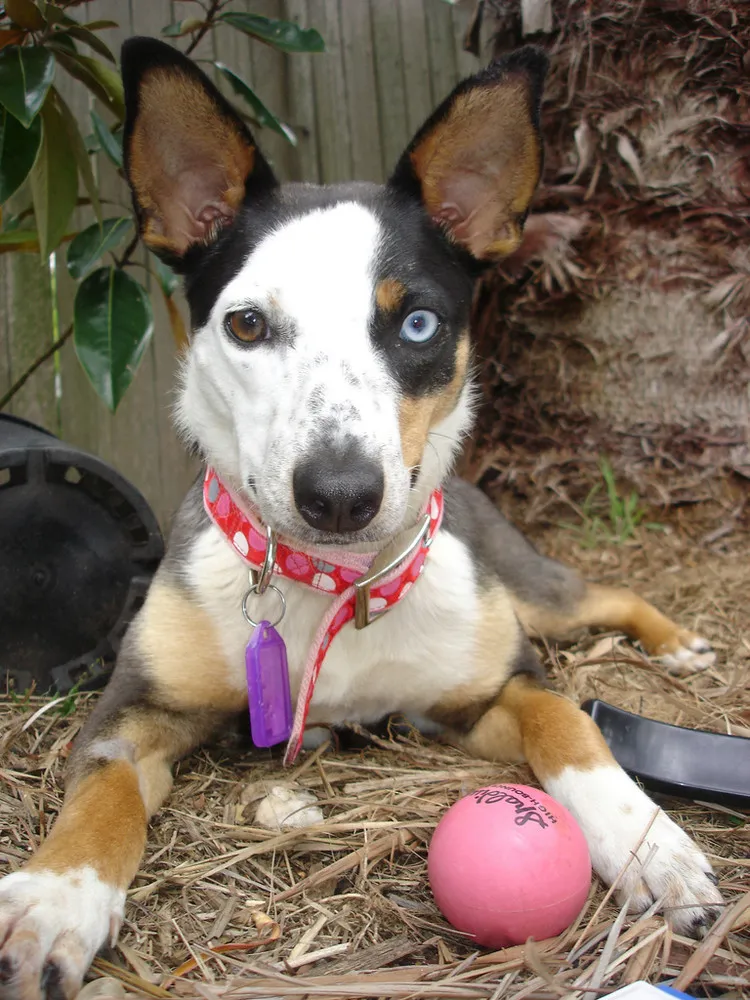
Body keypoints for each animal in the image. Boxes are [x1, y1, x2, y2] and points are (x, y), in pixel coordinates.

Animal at [1, 37, 728, 1000]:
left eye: (417, 322)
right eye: (246, 324)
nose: (342, 494)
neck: (335, 584)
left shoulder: (494, 690)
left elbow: (570, 721)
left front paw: (649, 842)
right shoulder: (134, 706)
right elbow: (102, 794)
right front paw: (54, 897)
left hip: (536, 593)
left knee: (606, 594)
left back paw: (677, 642)